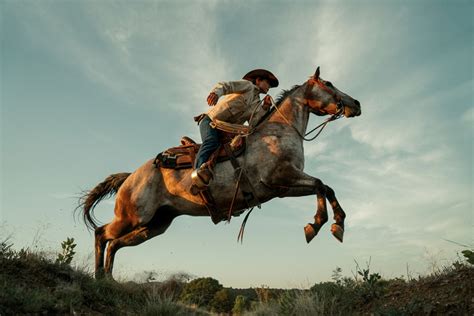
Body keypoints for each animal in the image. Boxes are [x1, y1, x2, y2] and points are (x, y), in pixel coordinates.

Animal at [78, 66, 360, 276]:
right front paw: (320, 224)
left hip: (154, 225)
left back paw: (109, 281)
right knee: (102, 234)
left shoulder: (282, 188)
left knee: (115, 244)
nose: (356, 103)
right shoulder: (280, 178)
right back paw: (98, 278)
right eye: (329, 83)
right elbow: (321, 184)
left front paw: (334, 224)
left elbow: (325, 187)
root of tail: (131, 177)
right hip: (132, 217)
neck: (279, 132)